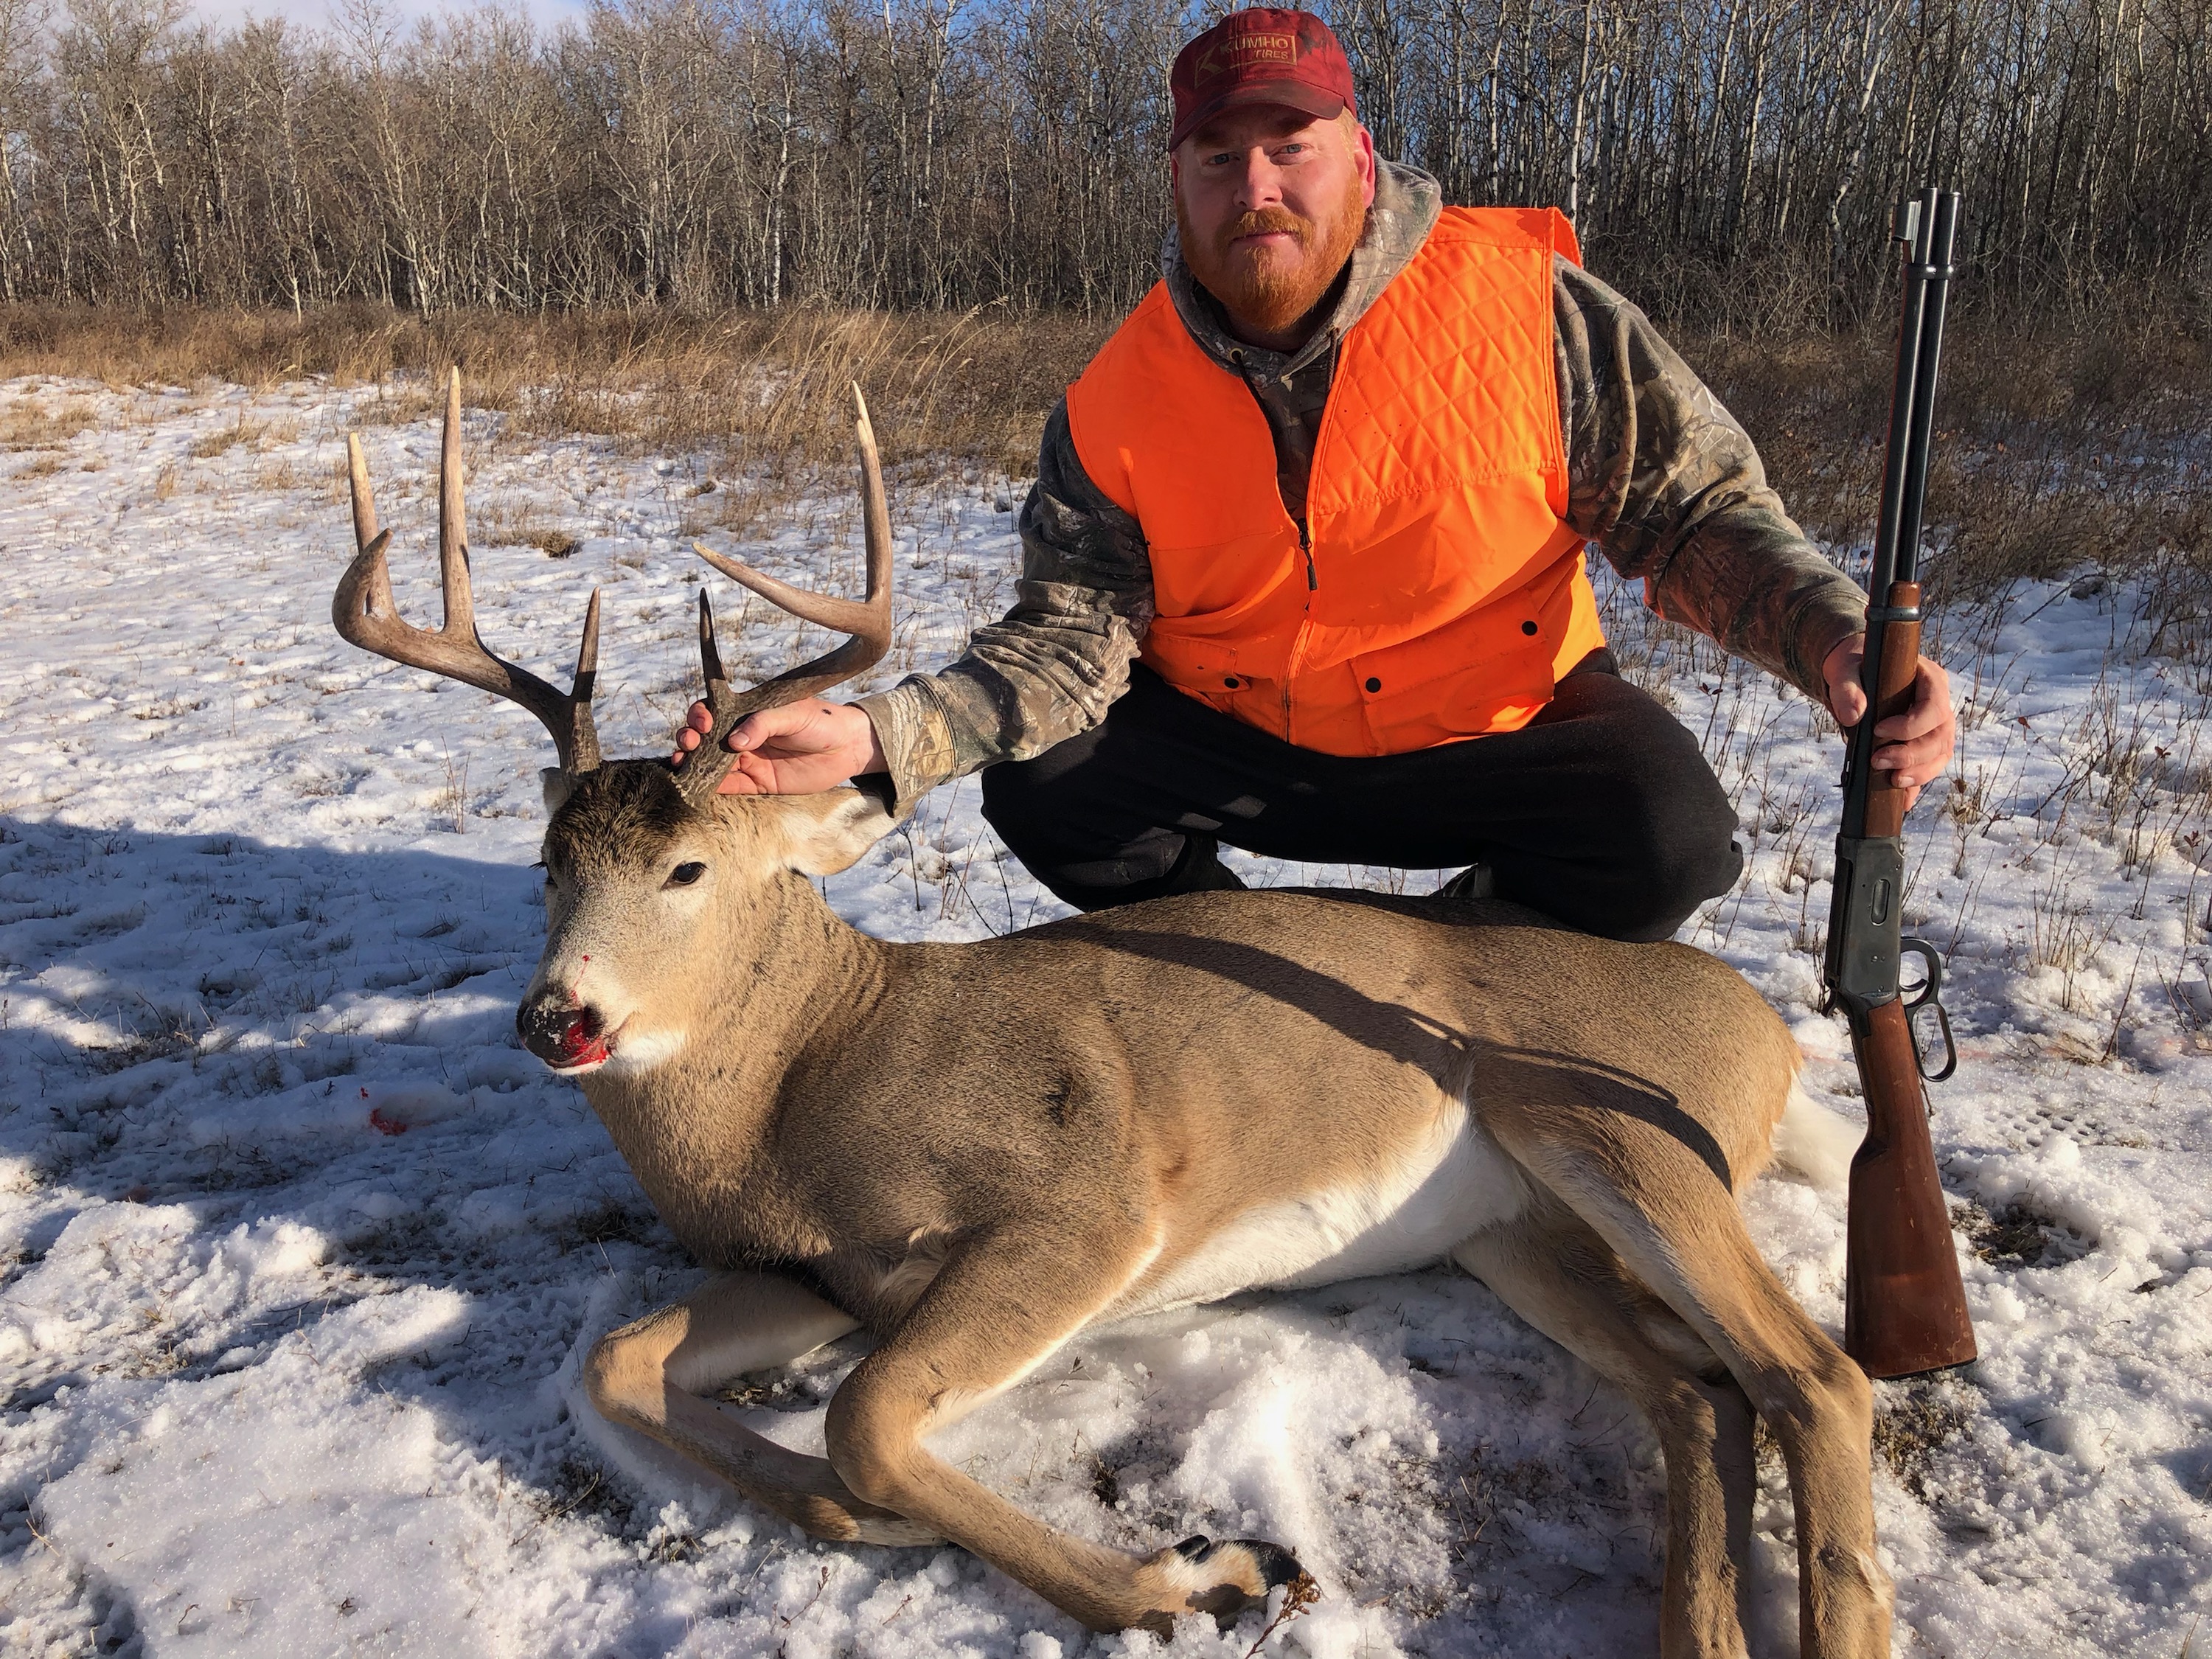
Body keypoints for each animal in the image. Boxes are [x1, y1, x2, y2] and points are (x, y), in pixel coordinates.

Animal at [332, 369, 1892, 1658]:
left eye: (688, 867)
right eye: (550, 865)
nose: (560, 1020)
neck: (800, 1097)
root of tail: (1763, 1026)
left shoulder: (1080, 1204)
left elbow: (867, 1418)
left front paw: (1197, 1576)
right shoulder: (817, 1275)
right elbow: (618, 1361)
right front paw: (869, 1515)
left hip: (1607, 1123)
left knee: (1820, 1375)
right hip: (1519, 1231)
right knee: (1703, 1395)